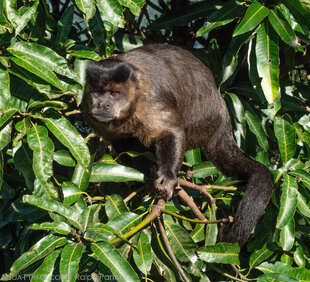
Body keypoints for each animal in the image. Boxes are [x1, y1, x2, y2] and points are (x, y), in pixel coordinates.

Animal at [83, 43, 274, 245]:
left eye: (114, 93)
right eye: (98, 92)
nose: (103, 105)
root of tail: (223, 115)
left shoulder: (150, 99)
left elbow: (170, 132)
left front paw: (167, 175)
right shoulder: (91, 113)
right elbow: (121, 143)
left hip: (202, 124)